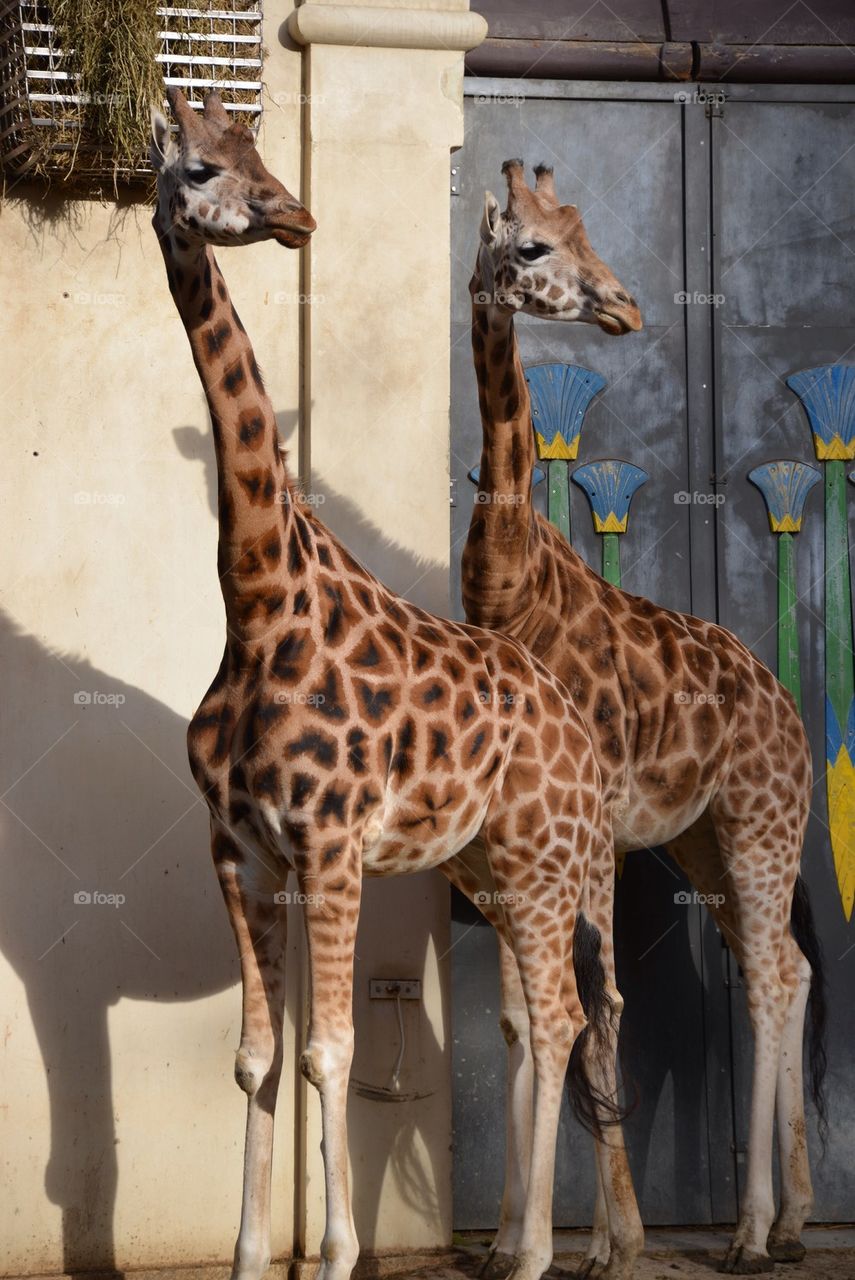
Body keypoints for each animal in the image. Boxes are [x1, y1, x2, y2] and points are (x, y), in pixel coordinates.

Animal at [149, 91, 619, 1280]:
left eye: (258, 151)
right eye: (200, 165)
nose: (295, 215)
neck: (258, 600)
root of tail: (580, 734)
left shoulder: (330, 845)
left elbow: (331, 1049)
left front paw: (336, 1254)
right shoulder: (243, 853)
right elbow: (257, 1058)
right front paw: (249, 1256)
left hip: (545, 866)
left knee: (564, 1017)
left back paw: (537, 1253)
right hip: (496, 868)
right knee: (536, 1022)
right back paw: (519, 1244)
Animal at [462, 161, 827, 1279]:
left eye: (586, 229)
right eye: (533, 245)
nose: (624, 307)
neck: (507, 589)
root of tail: (786, 704)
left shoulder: (585, 841)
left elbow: (599, 1008)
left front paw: (604, 1243)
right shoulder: (530, 842)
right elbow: (518, 1018)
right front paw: (511, 1239)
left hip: (759, 828)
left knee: (763, 982)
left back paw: (749, 1230)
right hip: (704, 842)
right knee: (785, 966)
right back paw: (792, 1218)